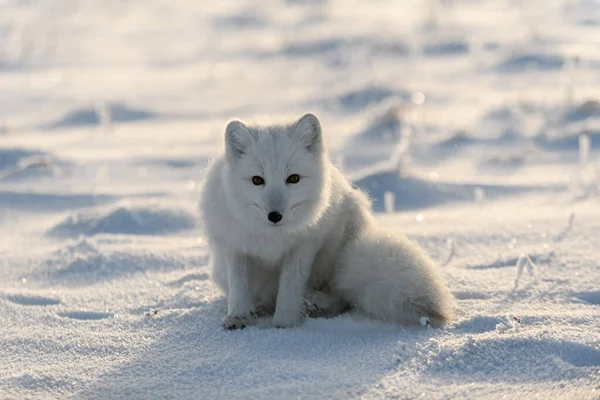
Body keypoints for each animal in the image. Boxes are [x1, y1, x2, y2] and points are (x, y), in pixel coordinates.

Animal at [199, 114, 452, 330]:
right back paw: (266, 307)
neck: (272, 237)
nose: (275, 216)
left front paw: (285, 323)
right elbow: (239, 286)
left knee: (340, 299)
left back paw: (312, 303)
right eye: (257, 180)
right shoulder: (234, 246)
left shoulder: (305, 245)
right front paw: (237, 317)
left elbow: (290, 286)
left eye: (293, 178)